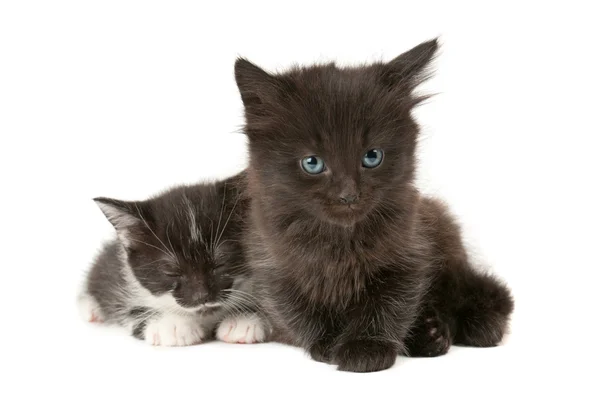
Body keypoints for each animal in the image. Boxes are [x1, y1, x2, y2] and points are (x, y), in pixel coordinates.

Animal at [234, 38, 516, 372]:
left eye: (372, 157)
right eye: (312, 163)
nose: (348, 195)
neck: (340, 242)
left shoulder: (408, 255)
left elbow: (387, 305)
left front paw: (367, 348)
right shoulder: (274, 266)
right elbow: (299, 312)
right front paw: (328, 344)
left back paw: (441, 332)